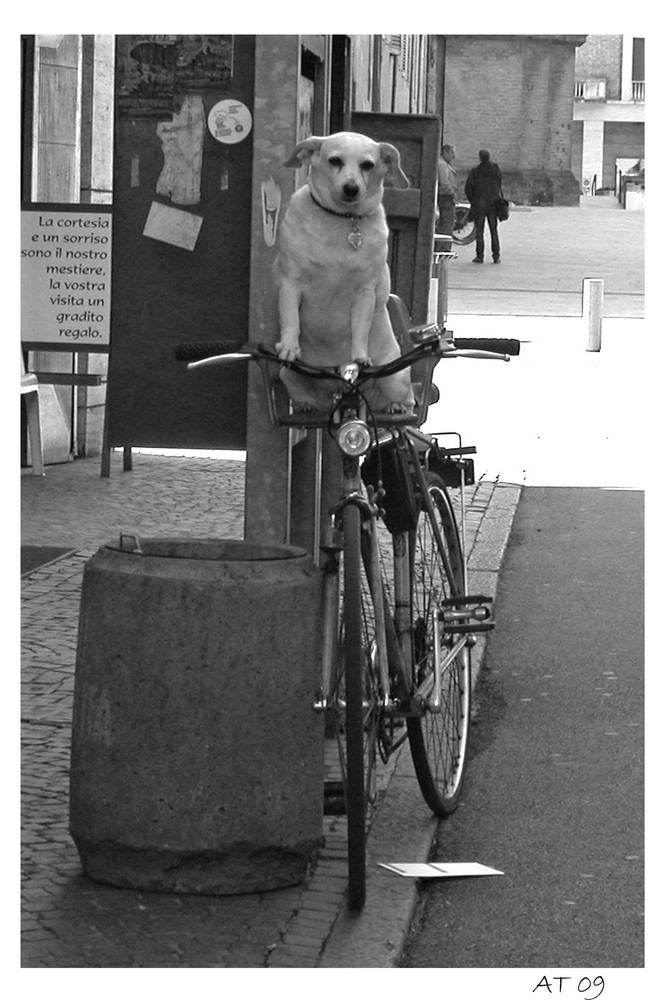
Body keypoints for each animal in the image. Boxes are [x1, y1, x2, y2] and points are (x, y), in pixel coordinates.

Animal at [272, 132, 412, 414]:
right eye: (334, 160)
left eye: (368, 165)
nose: (351, 188)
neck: (342, 219)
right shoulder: (290, 283)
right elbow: (291, 318)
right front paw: (290, 346)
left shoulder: (365, 294)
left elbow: (360, 329)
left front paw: (359, 356)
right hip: (290, 377)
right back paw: (305, 405)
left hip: (395, 377)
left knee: (407, 400)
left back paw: (395, 406)